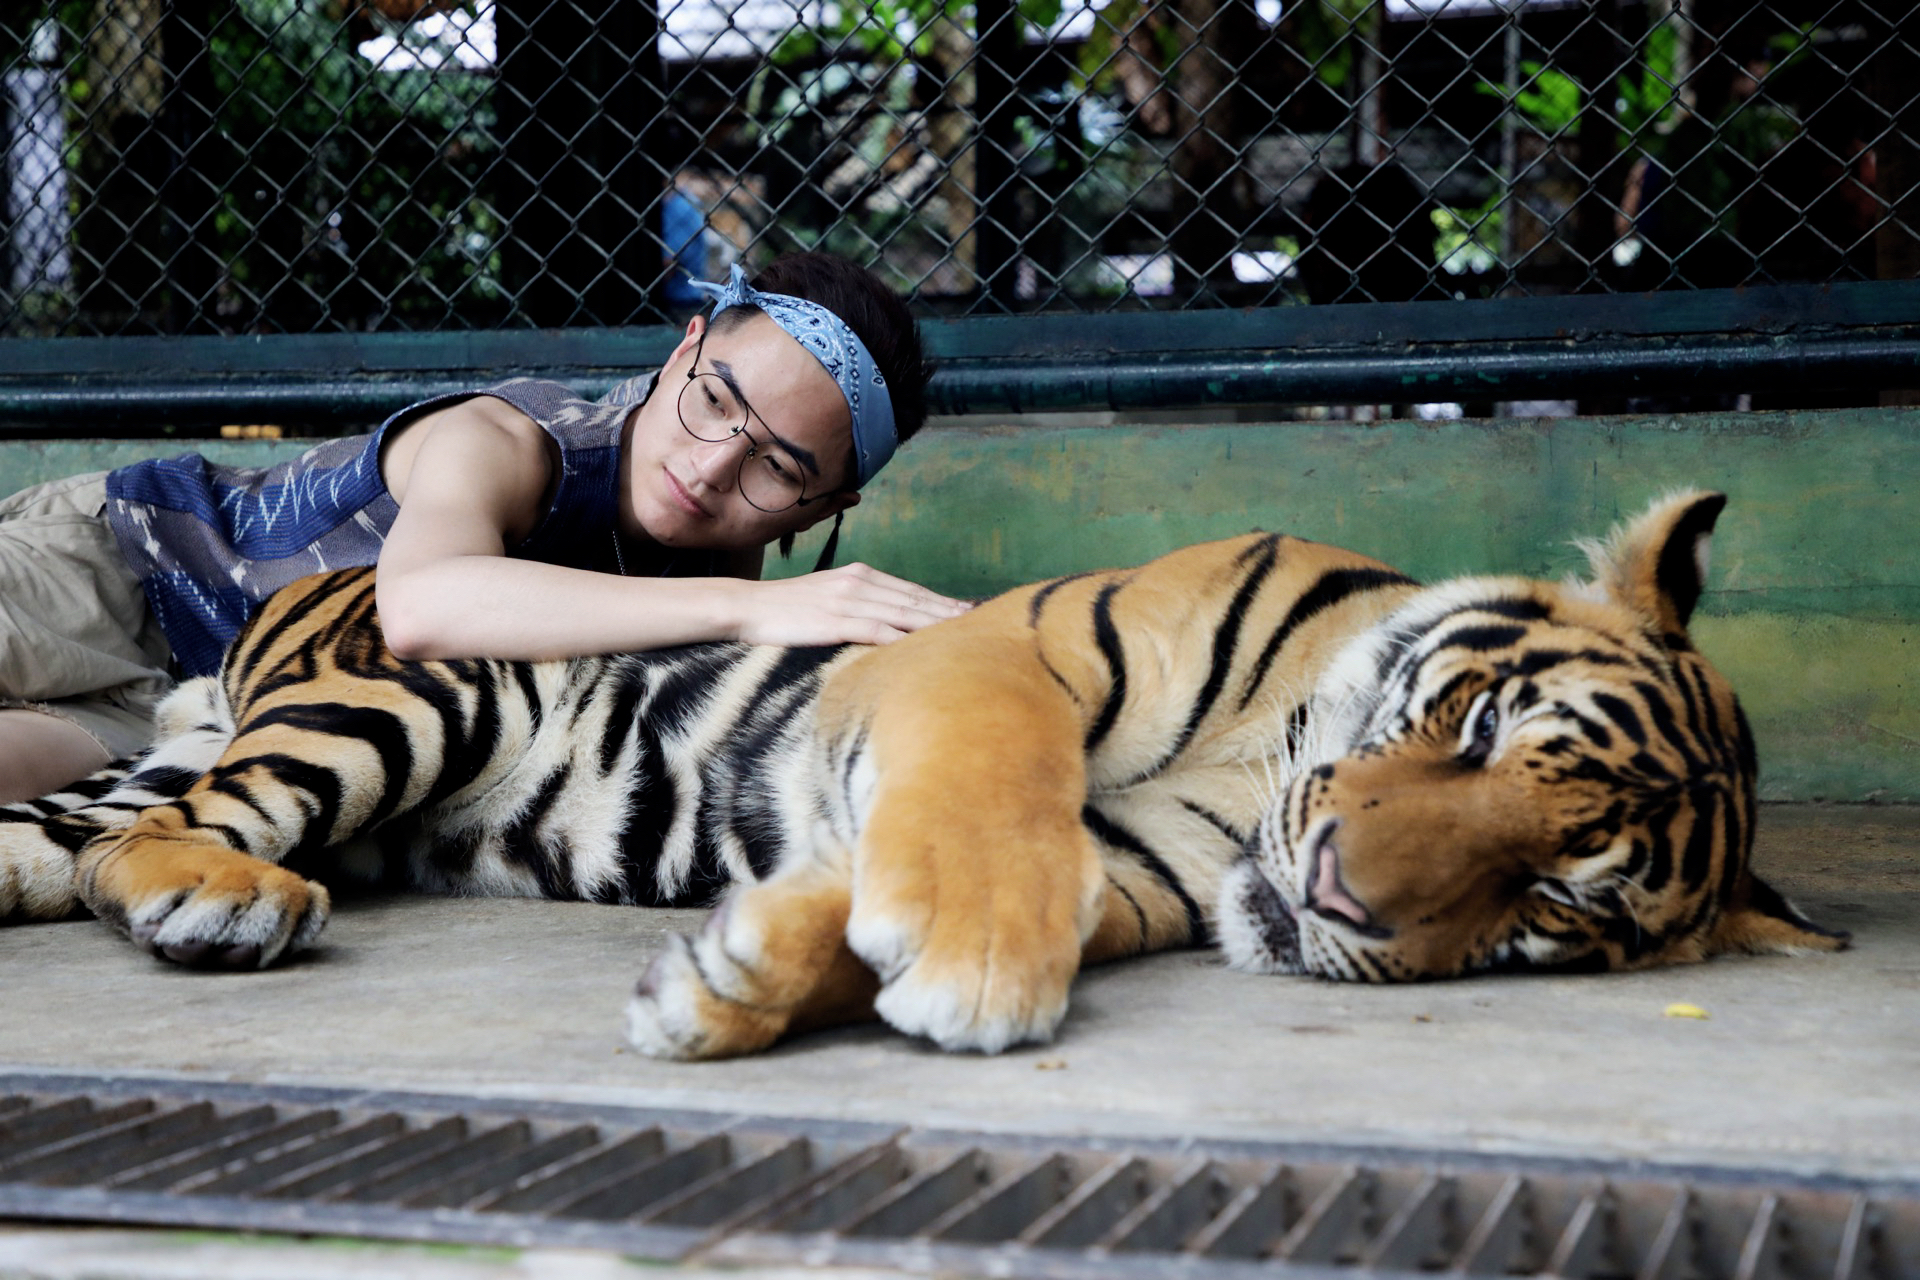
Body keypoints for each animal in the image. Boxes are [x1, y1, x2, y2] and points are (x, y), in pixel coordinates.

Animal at [0, 495, 1843, 1059]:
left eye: (1550, 901)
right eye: (1468, 731)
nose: (1338, 897)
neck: (1257, 777)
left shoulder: (1141, 869)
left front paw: (731, 985)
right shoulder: (995, 663)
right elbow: (987, 804)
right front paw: (966, 968)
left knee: (63, 839)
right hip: (405, 702)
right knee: (158, 838)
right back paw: (221, 905)